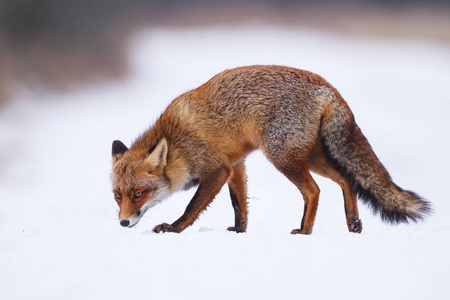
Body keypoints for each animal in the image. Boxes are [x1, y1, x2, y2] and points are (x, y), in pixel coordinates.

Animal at [110, 65, 430, 234]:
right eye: (117, 195)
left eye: (138, 194)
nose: (123, 222)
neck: (177, 143)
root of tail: (326, 86)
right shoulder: (235, 165)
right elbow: (239, 204)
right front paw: (239, 232)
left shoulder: (217, 168)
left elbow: (192, 206)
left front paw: (173, 229)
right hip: (311, 158)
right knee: (347, 181)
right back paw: (353, 224)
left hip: (283, 157)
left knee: (314, 191)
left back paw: (304, 231)